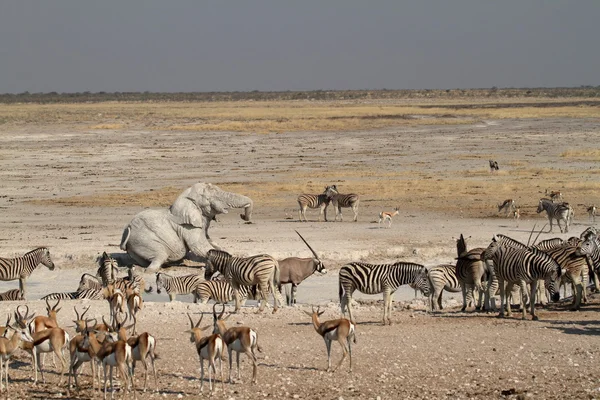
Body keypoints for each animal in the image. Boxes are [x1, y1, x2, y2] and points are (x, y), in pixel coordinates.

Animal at [119, 182, 253, 272]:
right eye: (210, 198)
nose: (242, 216)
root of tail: (126, 232)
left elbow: (210, 241)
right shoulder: (188, 227)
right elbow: (199, 247)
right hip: (143, 240)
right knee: (159, 256)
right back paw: (151, 270)